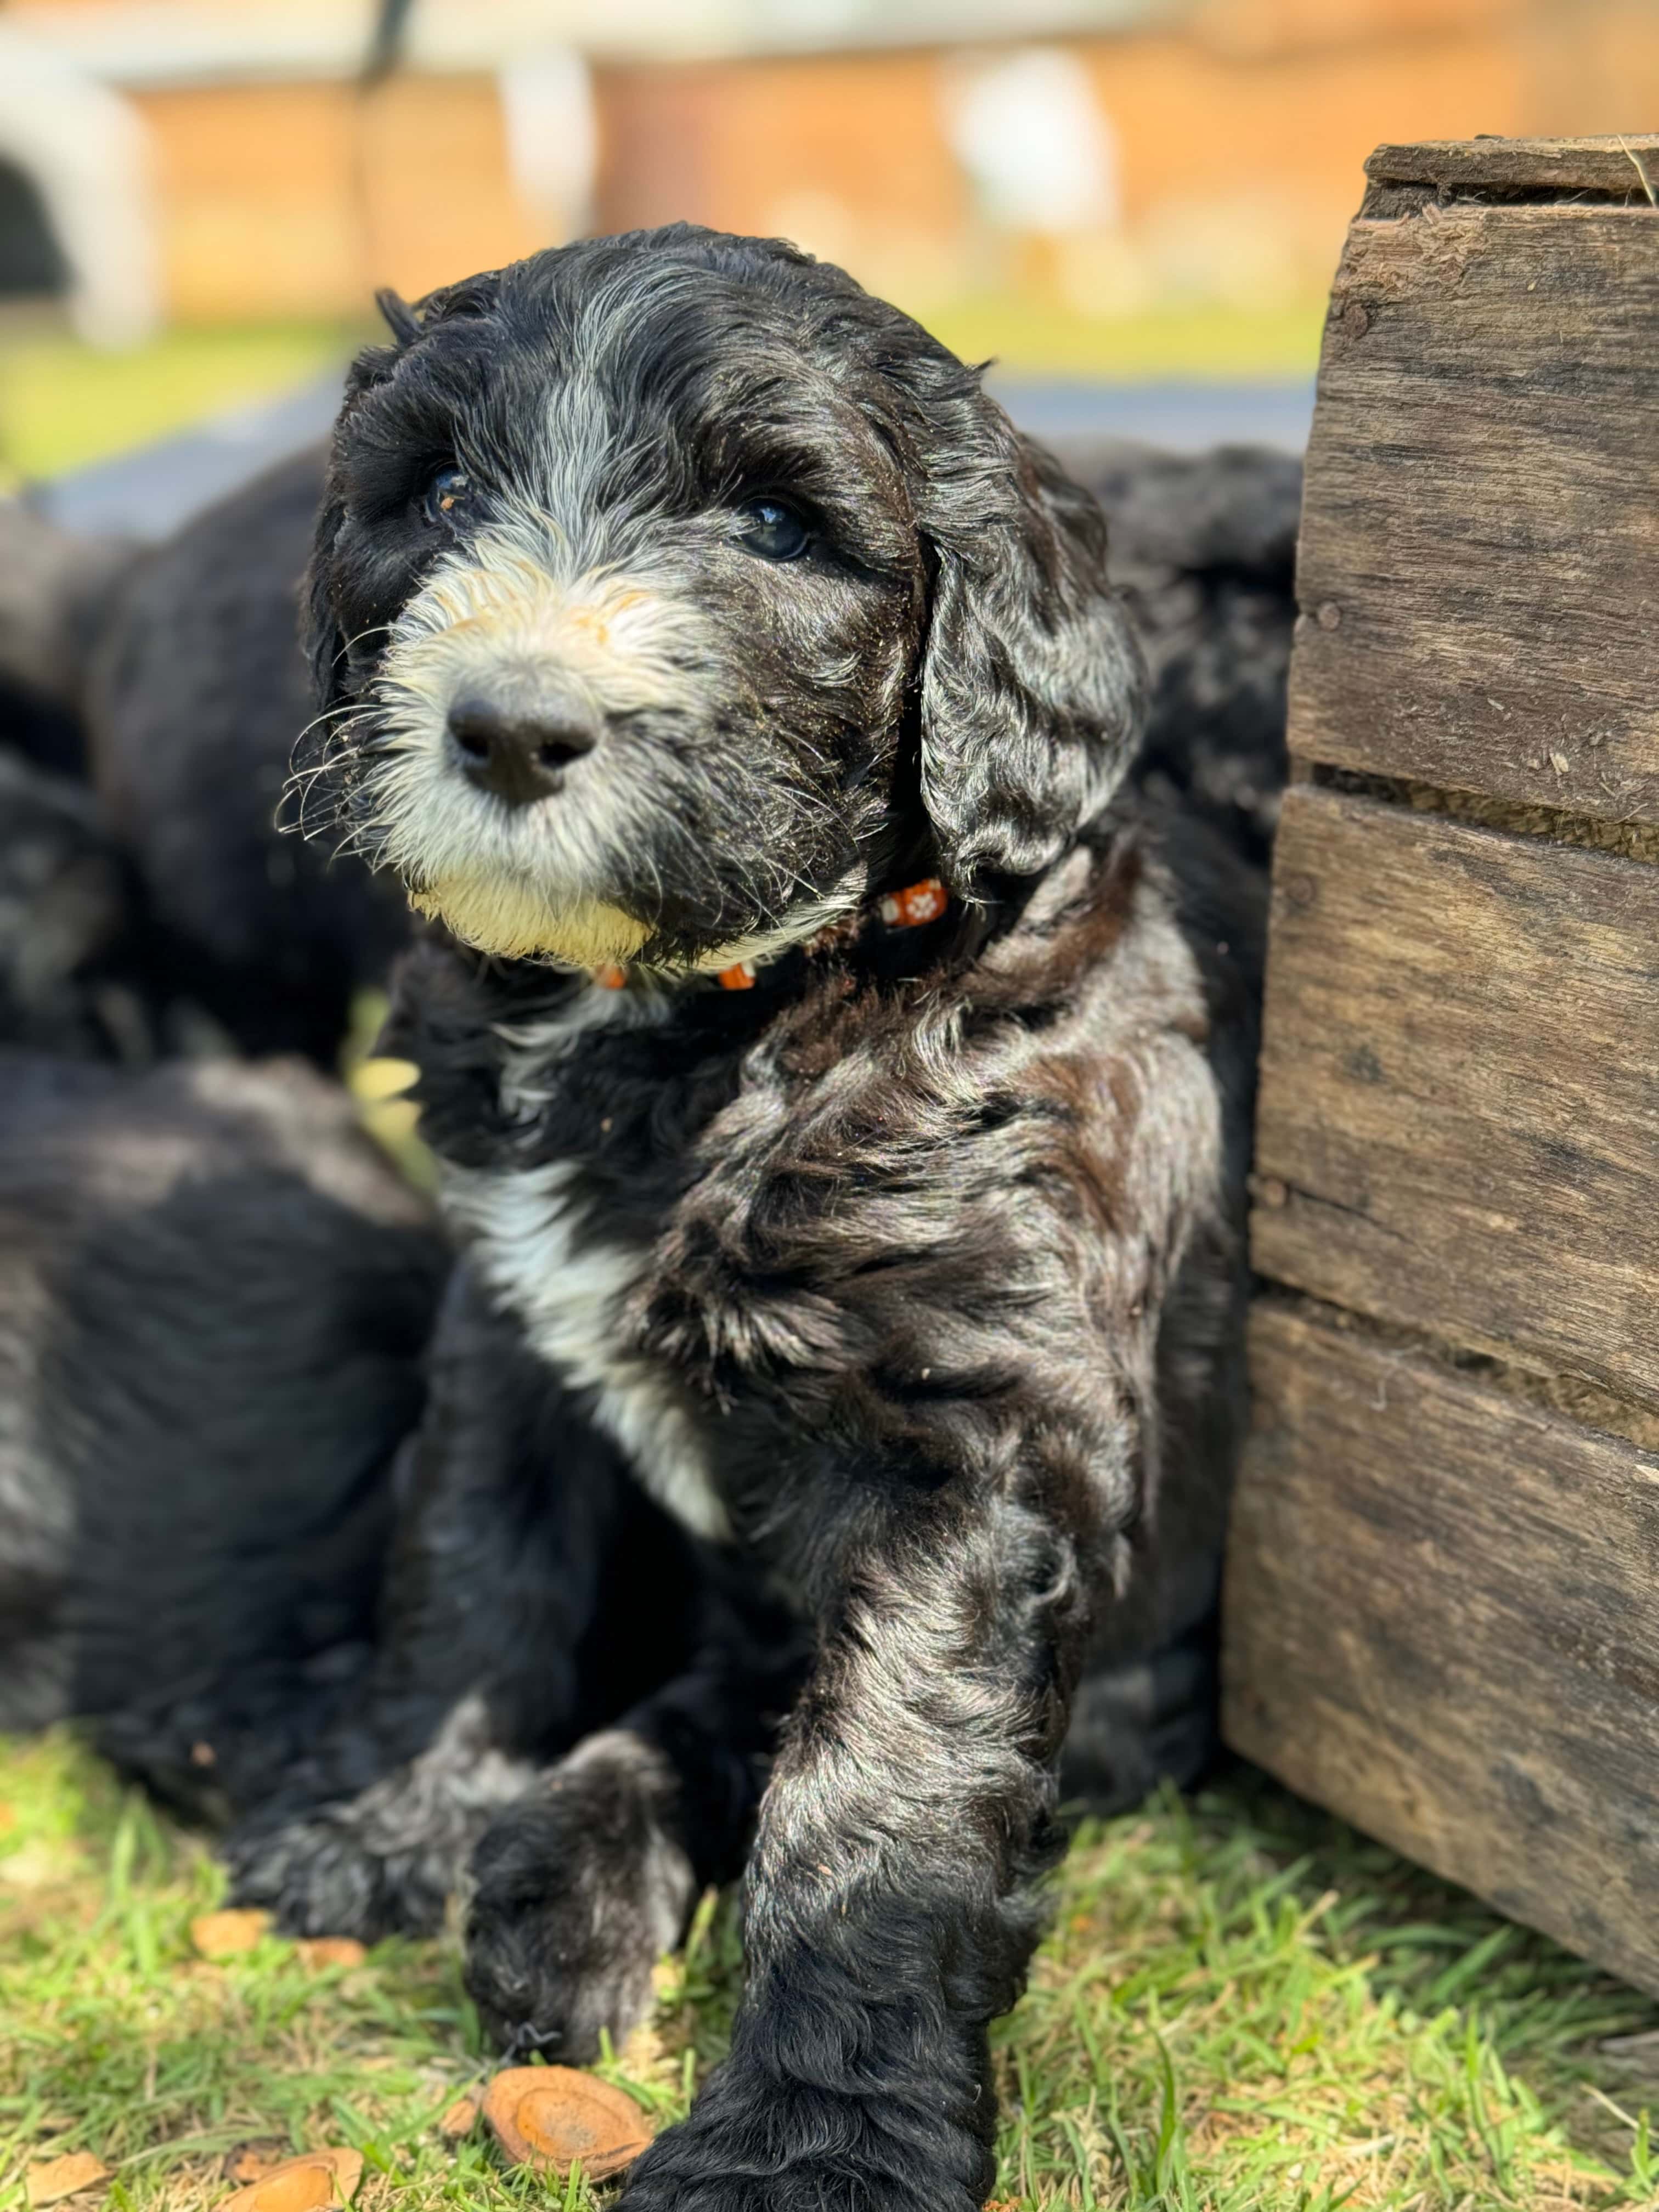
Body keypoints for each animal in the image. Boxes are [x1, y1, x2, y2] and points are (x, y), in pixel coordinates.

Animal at [215, 229, 1283, 2212]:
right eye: (441, 493)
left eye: (779, 521)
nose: (511, 727)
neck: (707, 1022)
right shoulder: (510, 1328)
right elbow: (469, 1581)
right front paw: (389, 1830)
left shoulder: (969, 1443)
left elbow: (882, 1800)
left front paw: (810, 2149)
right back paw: (556, 1878)